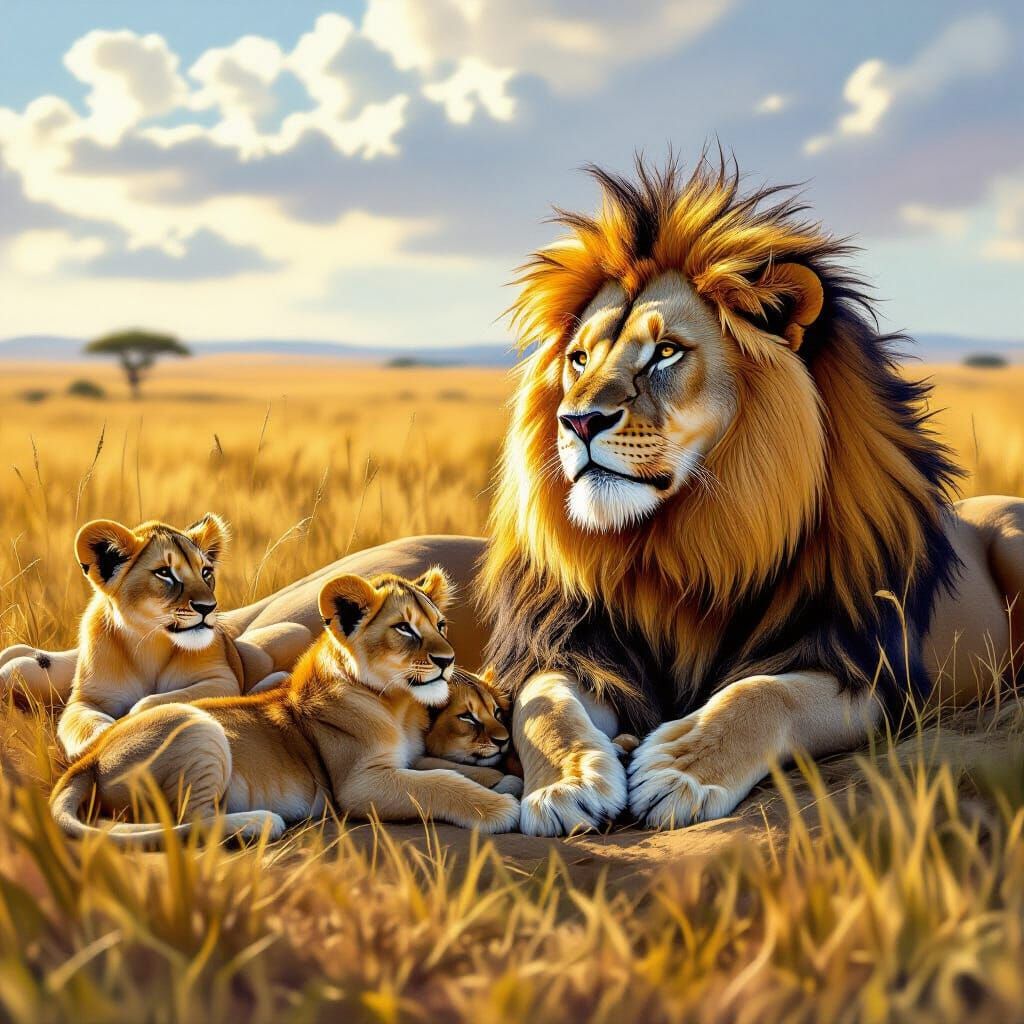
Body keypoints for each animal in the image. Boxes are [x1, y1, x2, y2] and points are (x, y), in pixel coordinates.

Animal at [50, 568, 521, 843]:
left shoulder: (408, 758)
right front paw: (499, 807)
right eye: (405, 629)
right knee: (185, 822)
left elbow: (444, 767)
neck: (399, 705)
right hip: (197, 727)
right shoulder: (358, 784)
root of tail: (87, 758)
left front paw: (504, 780)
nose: (448, 660)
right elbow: (439, 782)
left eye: (440, 625)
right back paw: (258, 823)